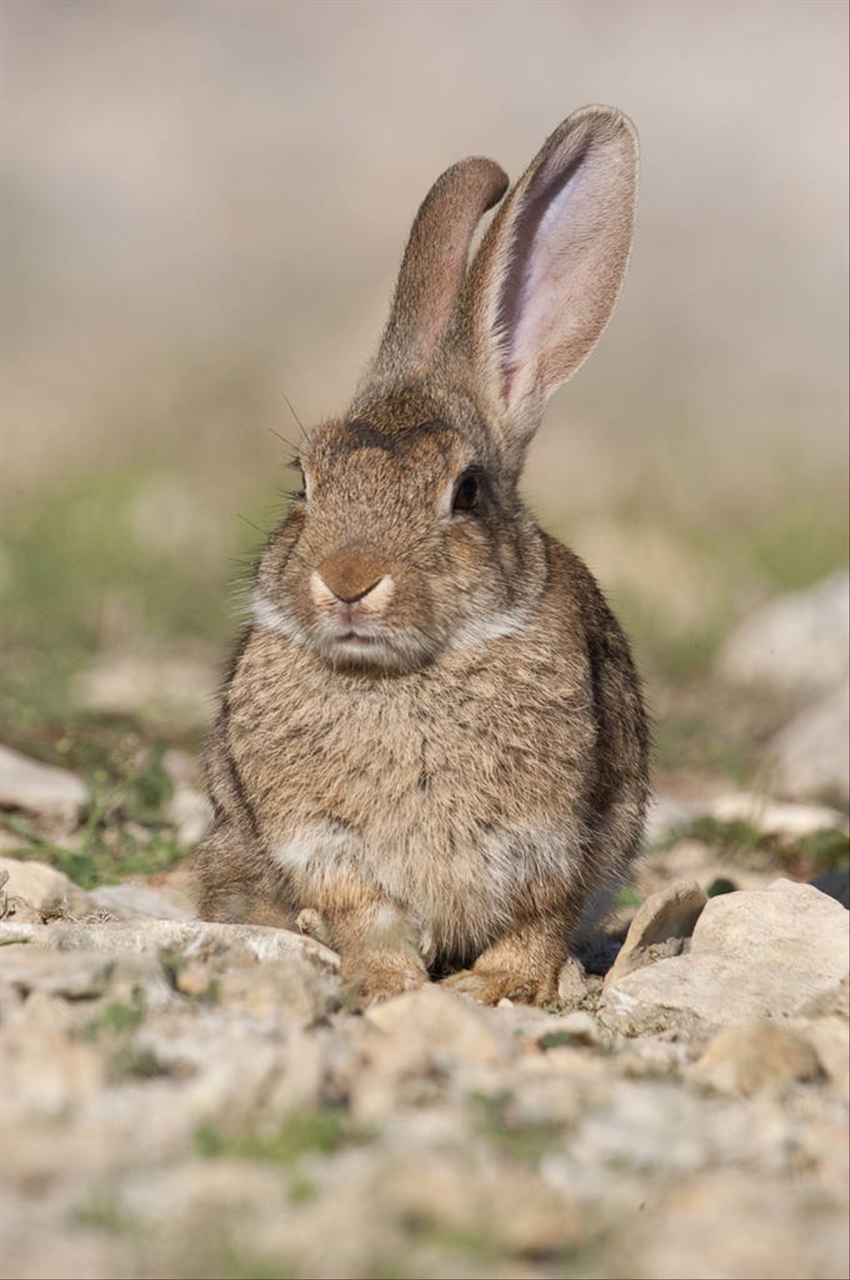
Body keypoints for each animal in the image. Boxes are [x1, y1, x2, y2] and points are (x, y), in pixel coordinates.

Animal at [197, 104, 650, 1003]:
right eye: (304, 479)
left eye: (466, 492)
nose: (346, 581)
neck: (402, 676)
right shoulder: (322, 842)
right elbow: (362, 913)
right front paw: (387, 985)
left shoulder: (560, 836)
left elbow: (540, 918)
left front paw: (498, 989)